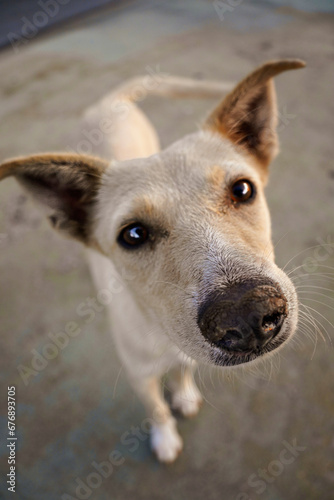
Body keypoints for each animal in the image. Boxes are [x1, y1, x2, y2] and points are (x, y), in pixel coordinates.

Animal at [0, 60, 306, 462]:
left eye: (242, 189)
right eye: (132, 235)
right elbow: (157, 408)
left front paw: (185, 395)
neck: (158, 326)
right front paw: (165, 438)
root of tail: (109, 101)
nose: (248, 316)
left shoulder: (184, 353)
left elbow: (181, 372)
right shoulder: (138, 376)